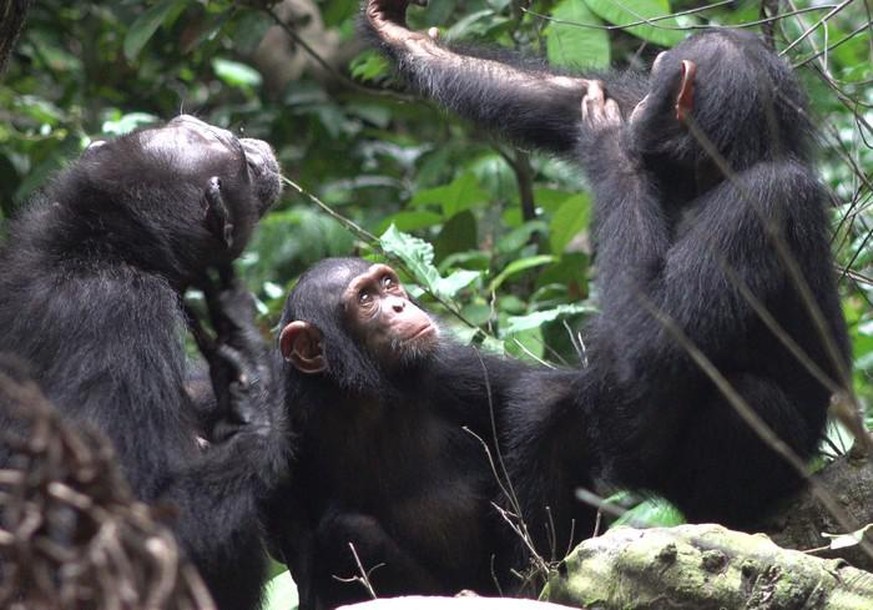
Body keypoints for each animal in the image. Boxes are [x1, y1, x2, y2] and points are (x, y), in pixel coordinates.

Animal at [268, 258, 564, 608]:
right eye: (365, 299)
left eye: (387, 284)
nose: (399, 305)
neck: (353, 393)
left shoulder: (445, 365)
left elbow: (539, 396)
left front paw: (528, 575)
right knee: (347, 529)